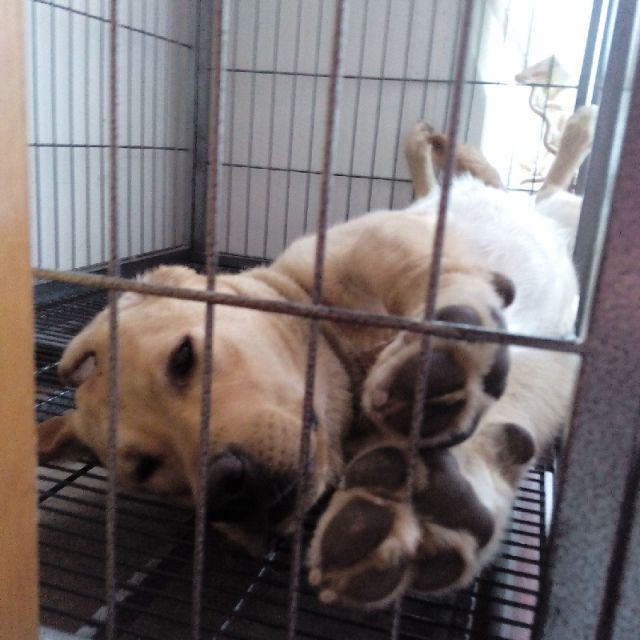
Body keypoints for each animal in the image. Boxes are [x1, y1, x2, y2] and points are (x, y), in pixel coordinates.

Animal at [37, 106, 597, 608]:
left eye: (182, 357)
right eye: (145, 469)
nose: (225, 489)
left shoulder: (390, 247)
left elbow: (433, 277)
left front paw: (446, 342)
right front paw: (409, 506)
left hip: (557, 211)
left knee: (541, 184)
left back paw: (568, 131)